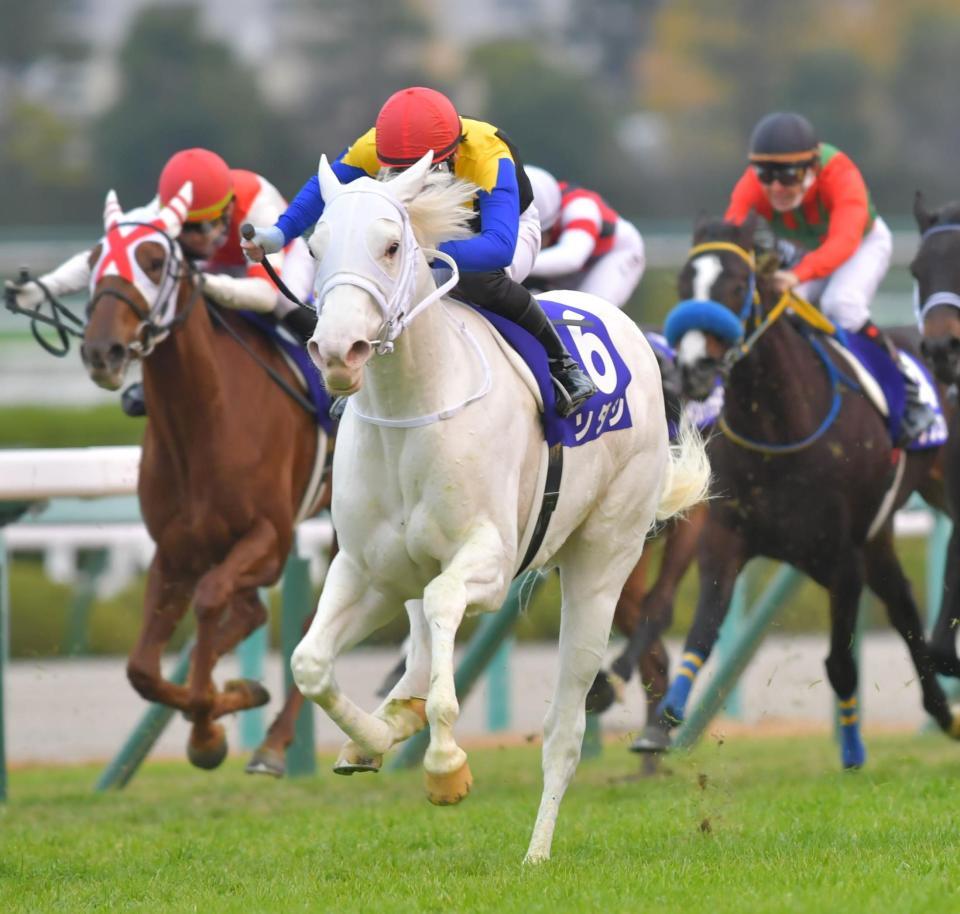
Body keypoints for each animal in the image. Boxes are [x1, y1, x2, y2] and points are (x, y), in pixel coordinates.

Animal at [80, 185, 326, 768]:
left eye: (153, 261)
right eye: (94, 258)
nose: (102, 351)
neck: (204, 421)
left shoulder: (270, 539)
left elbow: (212, 599)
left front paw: (208, 730)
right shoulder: (174, 550)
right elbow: (142, 670)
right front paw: (225, 706)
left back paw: (276, 741)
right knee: (256, 613)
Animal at [288, 151, 708, 864]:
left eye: (392, 246)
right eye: (315, 247)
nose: (337, 351)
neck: (413, 408)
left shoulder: (488, 560)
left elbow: (444, 609)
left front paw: (446, 766)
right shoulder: (369, 570)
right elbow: (310, 664)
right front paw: (371, 740)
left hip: (604, 561)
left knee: (565, 726)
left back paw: (536, 852)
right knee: (417, 644)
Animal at [636, 212, 960, 764]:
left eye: (736, 284)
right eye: (683, 284)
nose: (695, 368)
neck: (778, 427)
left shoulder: (842, 557)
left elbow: (840, 663)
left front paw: (852, 750)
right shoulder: (725, 539)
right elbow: (702, 633)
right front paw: (662, 723)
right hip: (878, 534)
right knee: (901, 602)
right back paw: (942, 709)